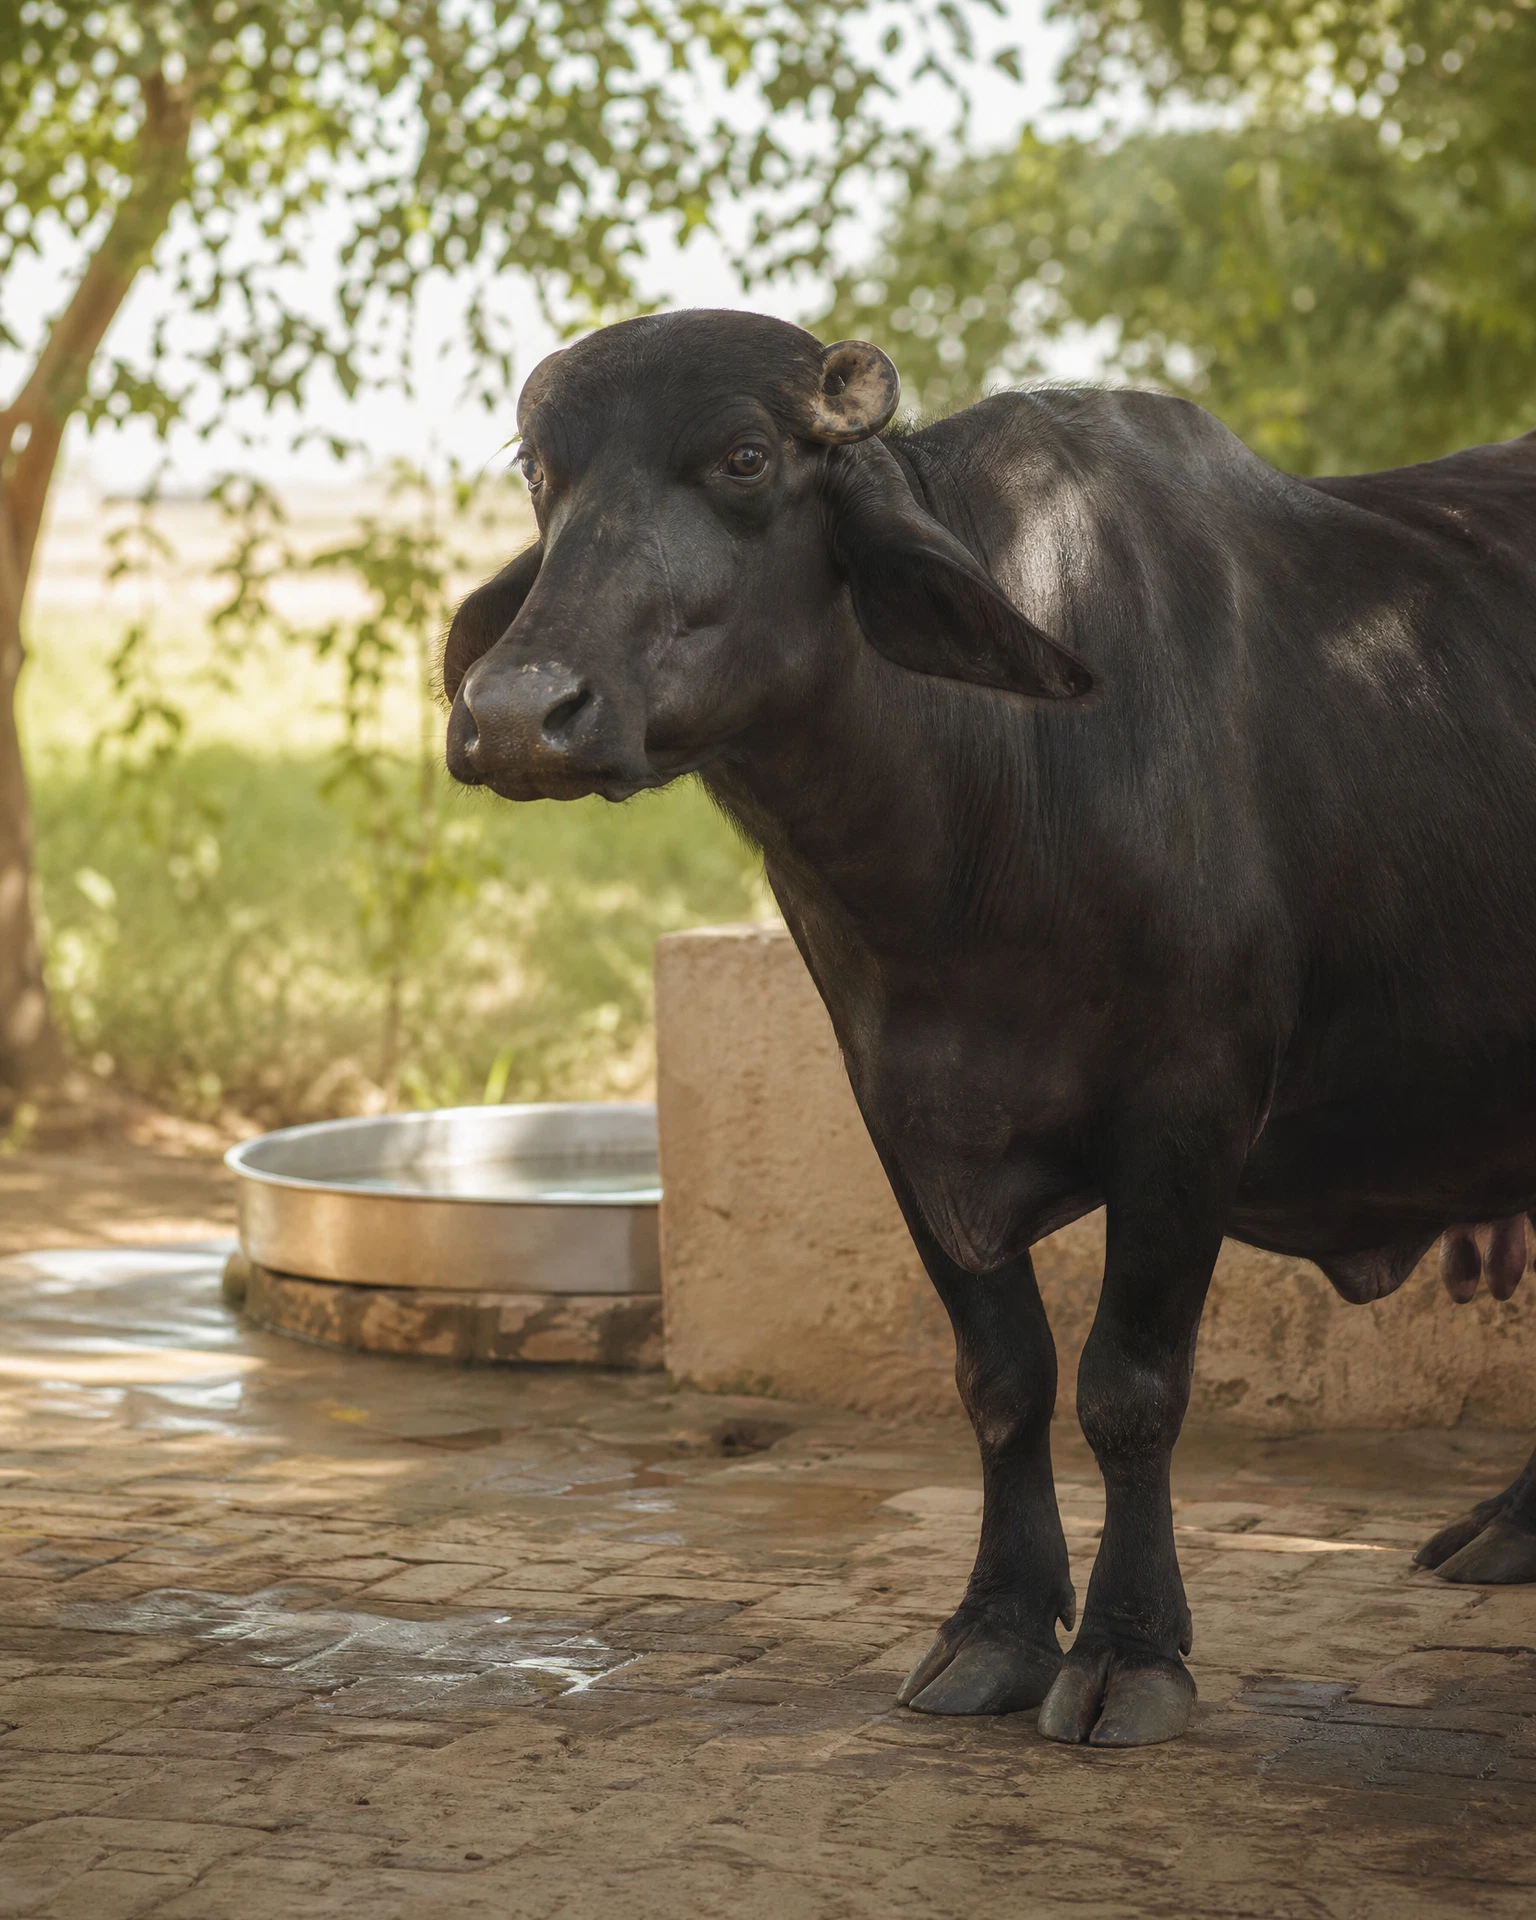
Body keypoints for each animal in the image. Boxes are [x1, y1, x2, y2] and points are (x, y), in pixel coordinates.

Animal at [443, 309, 1536, 1748]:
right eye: (540, 472)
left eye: (743, 456)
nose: (519, 713)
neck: (970, 844)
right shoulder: (901, 1111)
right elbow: (1002, 1376)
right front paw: (996, 1629)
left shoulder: (1193, 1103)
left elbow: (1128, 1386)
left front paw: (1131, 1648)